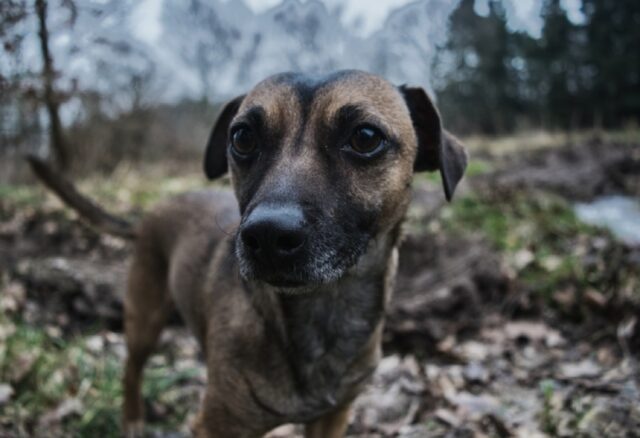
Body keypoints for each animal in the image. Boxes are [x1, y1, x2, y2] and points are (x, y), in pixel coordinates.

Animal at [28, 70, 464, 436]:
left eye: (366, 137)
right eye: (242, 137)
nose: (268, 236)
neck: (321, 312)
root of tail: (155, 209)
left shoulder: (331, 418)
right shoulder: (216, 426)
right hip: (144, 319)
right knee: (131, 368)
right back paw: (133, 419)